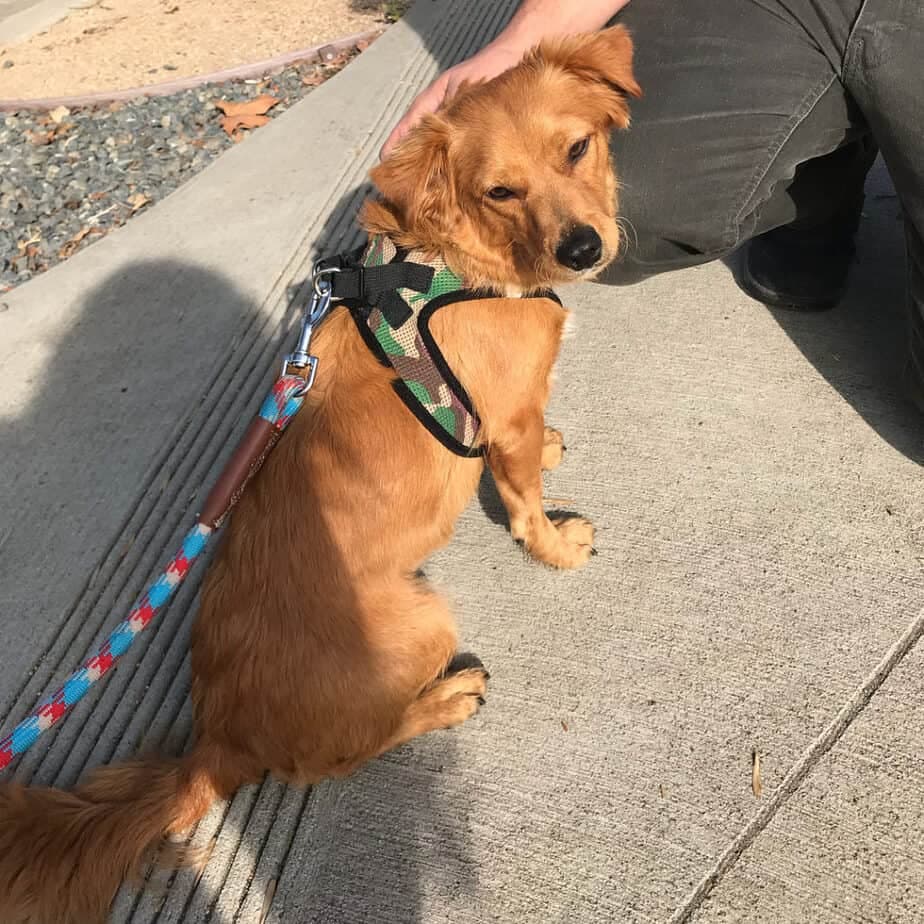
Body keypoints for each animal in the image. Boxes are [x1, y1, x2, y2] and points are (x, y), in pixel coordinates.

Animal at [0, 25, 636, 920]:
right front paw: (552, 544)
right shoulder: (504, 421)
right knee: (335, 761)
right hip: (420, 618)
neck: (453, 260)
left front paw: (552, 450)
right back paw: (443, 701)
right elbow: (521, 501)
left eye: (577, 148)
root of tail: (219, 741)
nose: (582, 248)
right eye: (500, 191)